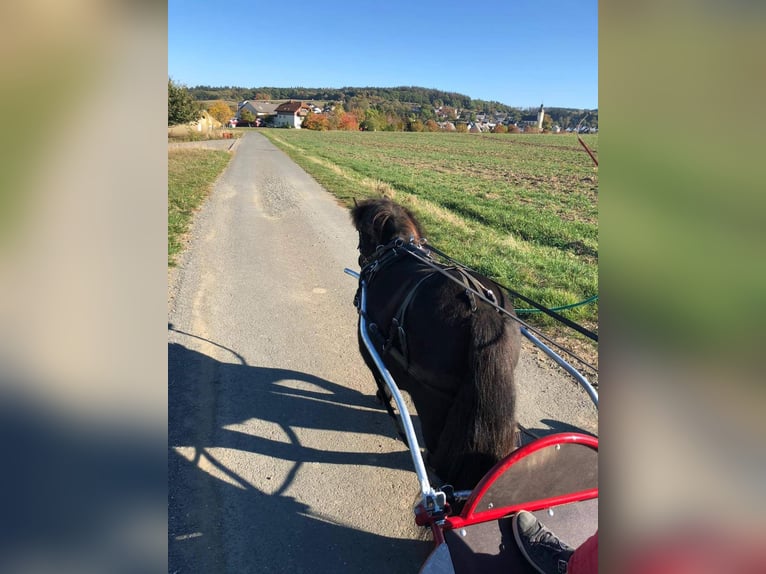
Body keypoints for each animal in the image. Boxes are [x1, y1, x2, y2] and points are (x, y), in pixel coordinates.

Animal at [352, 198, 520, 490]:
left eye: (361, 232)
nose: (362, 260)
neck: (396, 249)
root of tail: (480, 309)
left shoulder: (368, 345)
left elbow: (380, 377)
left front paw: (382, 397)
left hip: (431, 403)